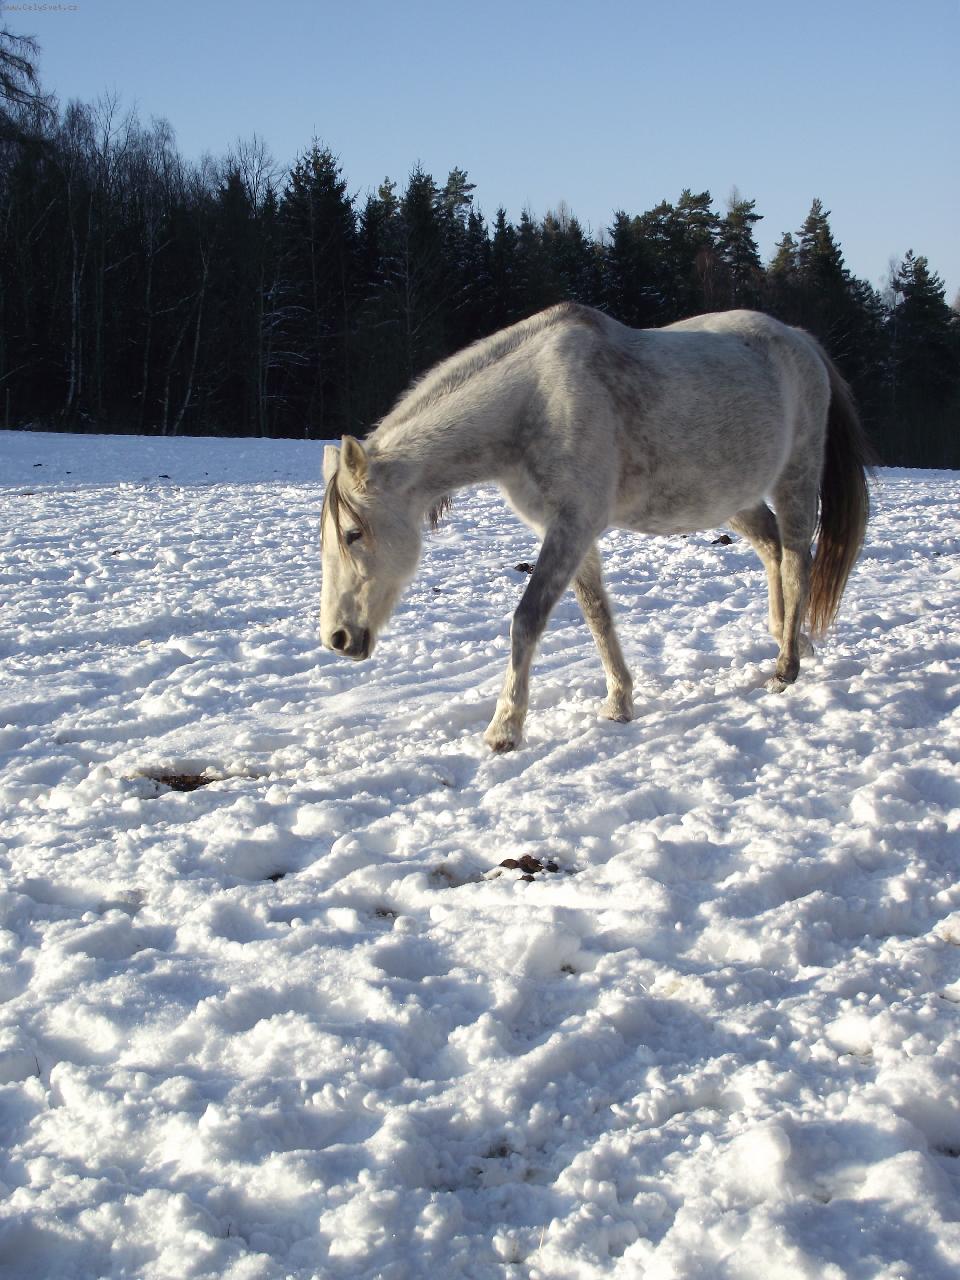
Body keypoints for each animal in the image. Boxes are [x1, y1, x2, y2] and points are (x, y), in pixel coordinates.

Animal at [320, 303, 871, 752]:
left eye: (353, 534)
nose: (337, 638)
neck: (535, 400)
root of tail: (799, 339)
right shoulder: (570, 533)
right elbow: (597, 618)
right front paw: (619, 703)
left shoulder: (573, 526)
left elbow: (528, 619)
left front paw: (505, 729)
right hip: (733, 497)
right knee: (772, 548)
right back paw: (788, 639)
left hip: (796, 477)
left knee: (797, 559)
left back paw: (786, 668)